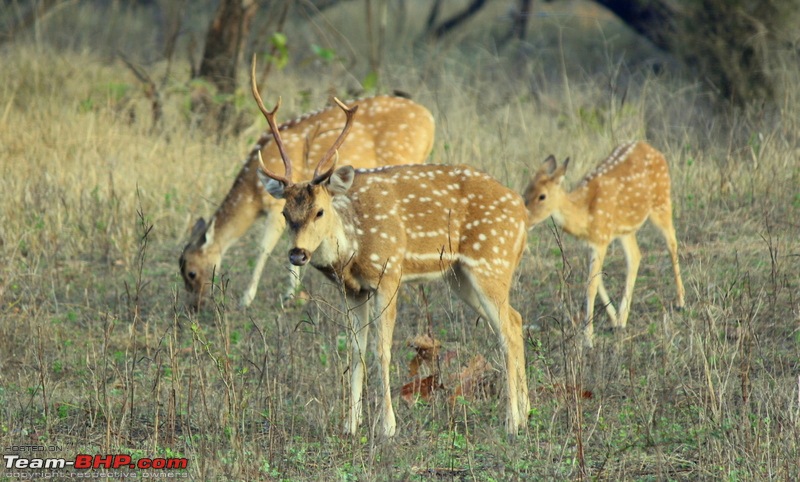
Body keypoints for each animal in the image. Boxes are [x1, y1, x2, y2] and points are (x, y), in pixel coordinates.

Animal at [180, 92, 438, 310]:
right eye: (180, 268)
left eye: (191, 272)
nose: (195, 305)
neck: (253, 191)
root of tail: (429, 118)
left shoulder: (275, 207)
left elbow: (263, 249)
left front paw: (255, 298)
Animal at [252, 62, 532, 434]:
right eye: (285, 214)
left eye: (320, 211)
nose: (298, 254)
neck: (354, 248)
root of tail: (523, 214)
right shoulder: (353, 291)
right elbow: (356, 351)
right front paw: (350, 425)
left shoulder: (389, 273)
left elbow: (382, 350)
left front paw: (387, 426)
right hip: (460, 276)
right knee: (514, 320)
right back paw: (526, 412)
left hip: (491, 260)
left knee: (508, 329)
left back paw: (512, 421)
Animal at [524, 141, 688, 348]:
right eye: (525, 191)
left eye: (542, 196)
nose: (525, 220)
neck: (585, 215)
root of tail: (650, 147)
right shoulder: (591, 243)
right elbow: (596, 279)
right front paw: (614, 320)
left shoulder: (601, 239)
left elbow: (592, 285)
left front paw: (588, 338)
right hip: (626, 228)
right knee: (635, 256)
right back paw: (622, 320)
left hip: (662, 202)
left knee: (672, 242)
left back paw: (681, 301)